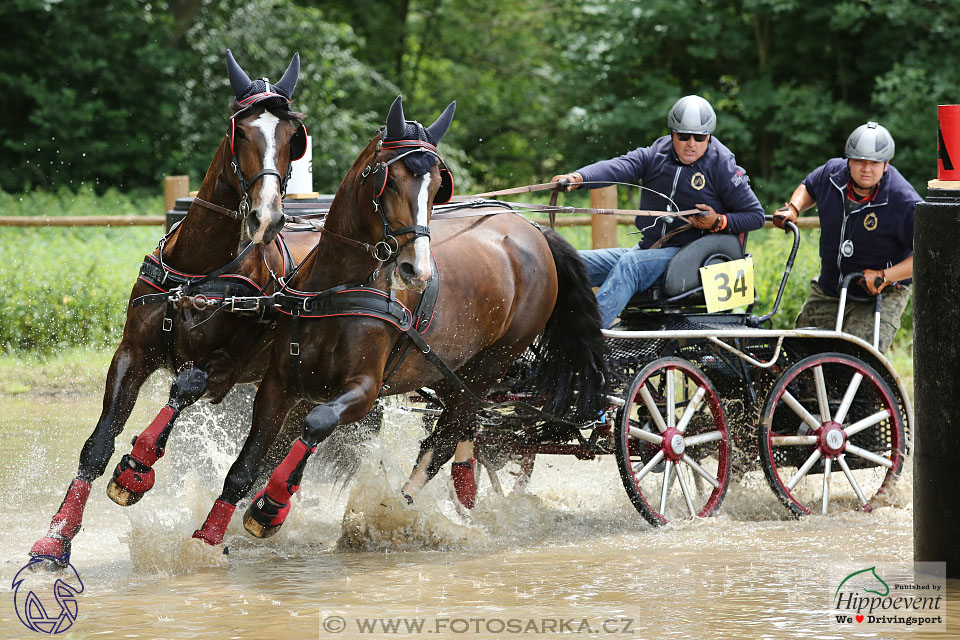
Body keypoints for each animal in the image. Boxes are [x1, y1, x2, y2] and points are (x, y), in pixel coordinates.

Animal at [29, 50, 316, 568]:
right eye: (242, 131)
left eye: (292, 138)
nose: (267, 216)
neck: (197, 269)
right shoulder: (132, 353)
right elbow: (97, 444)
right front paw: (56, 537)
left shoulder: (226, 367)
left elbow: (186, 386)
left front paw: (137, 467)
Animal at [185, 97, 608, 544]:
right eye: (388, 181)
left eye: (438, 187)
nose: (415, 270)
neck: (336, 288)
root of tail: (533, 229)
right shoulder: (279, 383)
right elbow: (245, 465)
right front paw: (209, 537)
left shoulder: (364, 391)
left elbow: (317, 424)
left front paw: (270, 508)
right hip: (450, 372)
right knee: (462, 435)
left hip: (486, 369)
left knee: (443, 441)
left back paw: (398, 511)